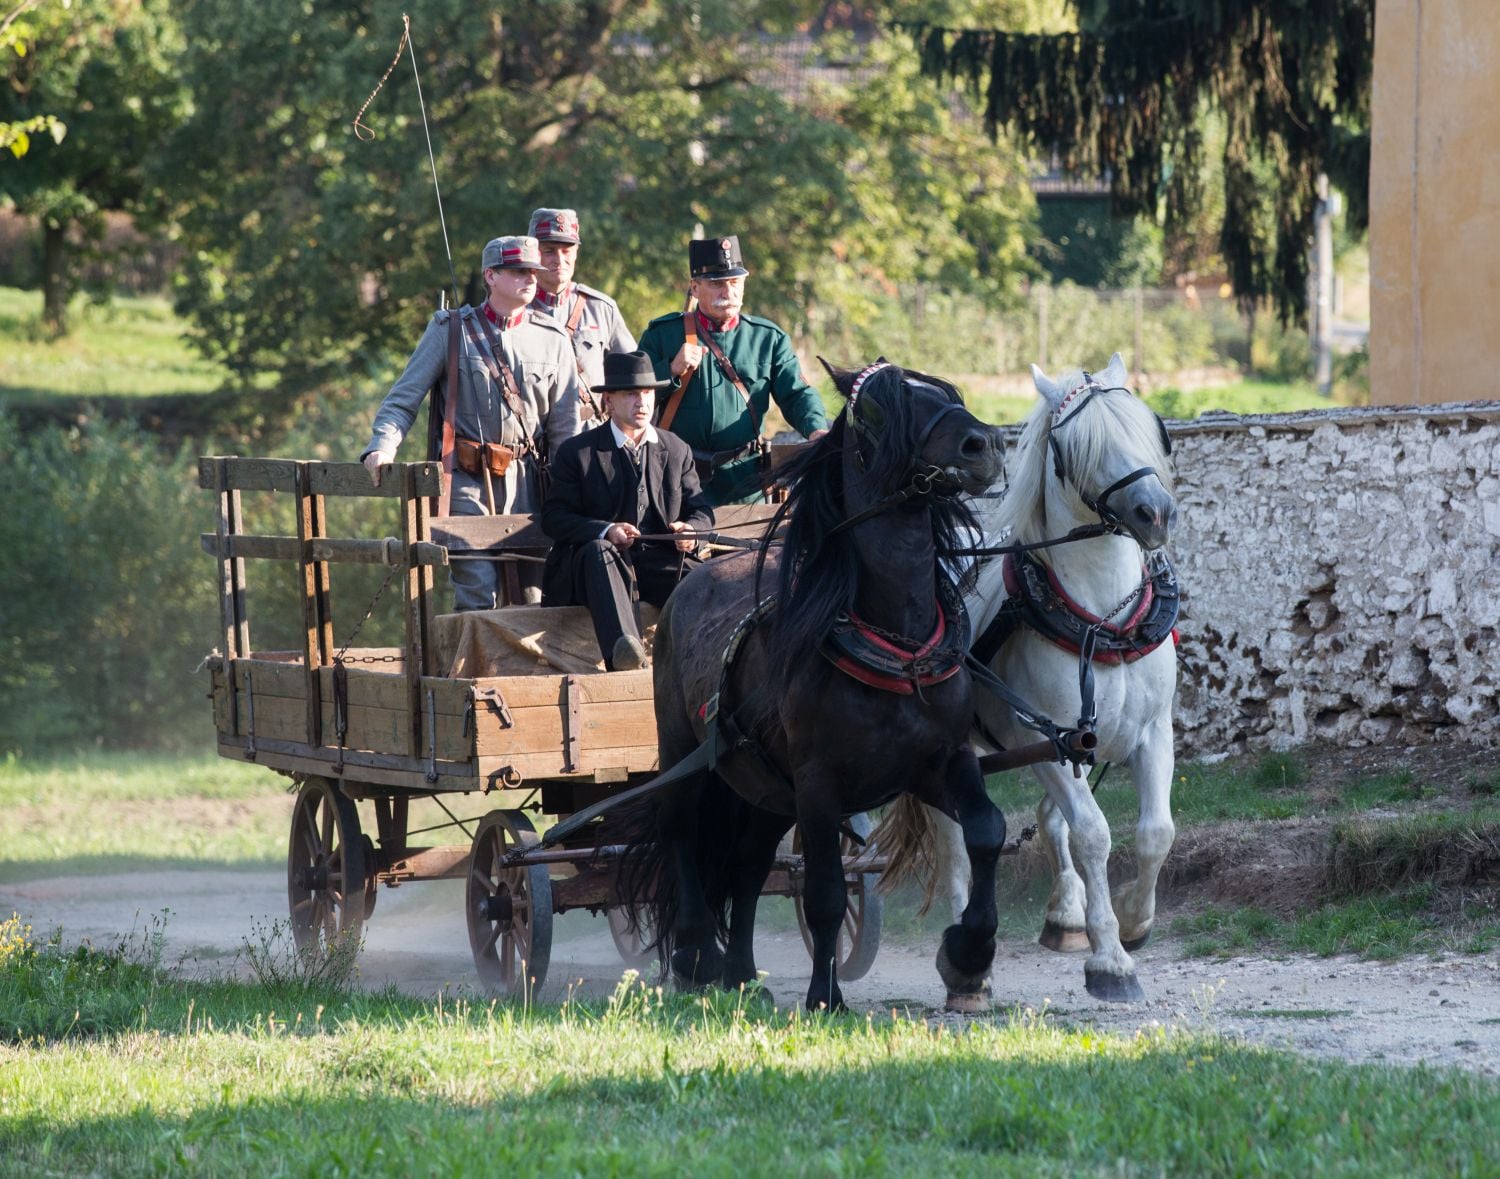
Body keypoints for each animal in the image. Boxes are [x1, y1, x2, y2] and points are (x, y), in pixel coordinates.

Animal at [615, 360, 1014, 1008]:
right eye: (881, 407)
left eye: (944, 392)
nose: (982, 446)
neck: (897, 643)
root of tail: (692, 577)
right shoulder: (819, 783)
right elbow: (825, 892)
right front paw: (825, 996)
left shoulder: (939, 761)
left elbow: (986, 830)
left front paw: (968, 953)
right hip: (685, 753)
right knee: (681, 835)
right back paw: (700, 954)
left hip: (767, 790)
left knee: (748, 867)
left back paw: (742, 973)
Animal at [882, 351, 1176, 1002]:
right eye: (1078, 445)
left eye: (1152, 427)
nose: (1155, 512)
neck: (1102, 617)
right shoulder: (1045, 739)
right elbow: (1093, 833)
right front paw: (1111, 960)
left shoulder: (1151, 733)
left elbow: (1155, 833)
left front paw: (1134, 921)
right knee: (957, 842)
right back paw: (968, 961)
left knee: (1047, 821)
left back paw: (1063, 915)